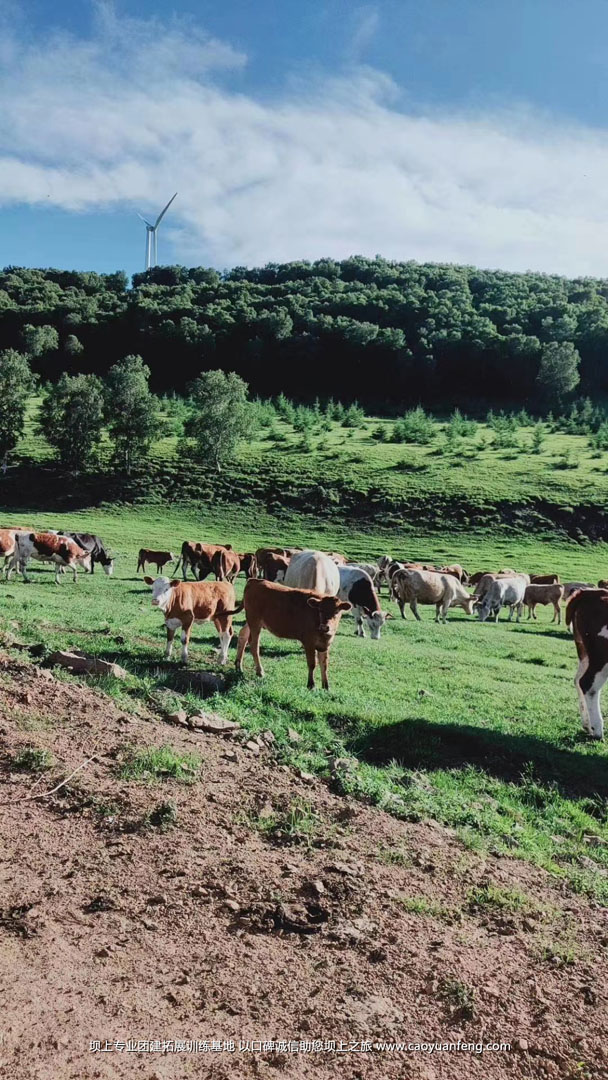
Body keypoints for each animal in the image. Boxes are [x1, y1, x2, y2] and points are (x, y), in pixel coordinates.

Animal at [565, 591, 608, 743]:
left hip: (585, 654)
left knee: (578, 680)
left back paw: (587, 725)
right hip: (601, 658)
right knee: (587, 684)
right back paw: (598, 730)